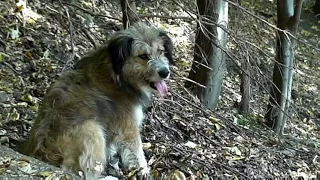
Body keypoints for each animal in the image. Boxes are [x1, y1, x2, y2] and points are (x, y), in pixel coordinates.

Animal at [24, 22, 174, 179]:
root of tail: (42, 153)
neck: (117, 76)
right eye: (143, 56)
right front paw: (143, 171)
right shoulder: (128, 128)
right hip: (92, 129)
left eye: (161, 51)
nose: (165, 72)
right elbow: (138, 153)